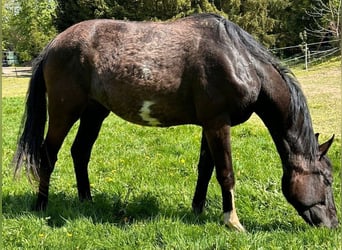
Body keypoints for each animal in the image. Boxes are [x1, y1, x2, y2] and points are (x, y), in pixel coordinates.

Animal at [12, 12, 338, 229]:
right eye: (327, 179)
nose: (332, 225)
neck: (240, 60)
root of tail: (54, 44)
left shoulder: (210, 125)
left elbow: (206, 169)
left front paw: (197, 210)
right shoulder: (218, 123)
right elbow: (226, 172)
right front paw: (233, 222)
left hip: (95, 112)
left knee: (80, 152)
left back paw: (86, 201)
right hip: (64, 112)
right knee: (47, 154)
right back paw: (41, 206)